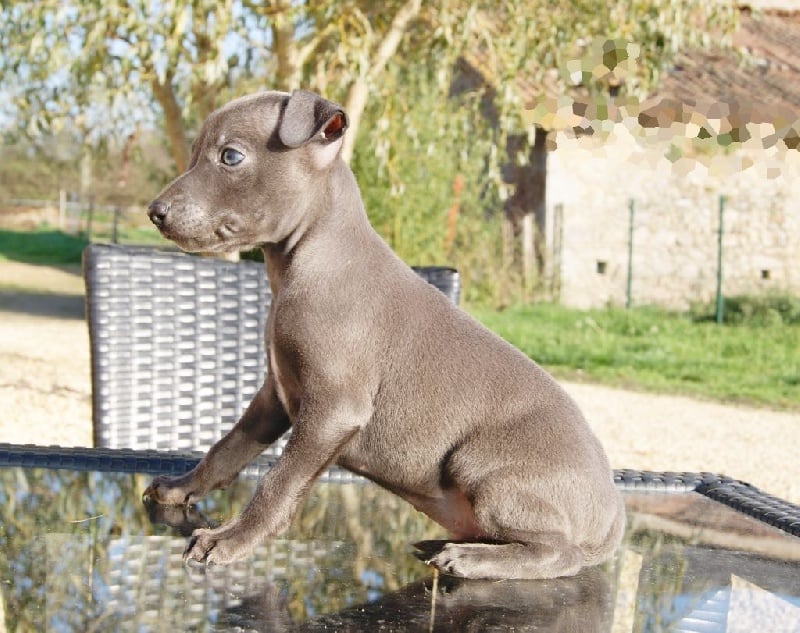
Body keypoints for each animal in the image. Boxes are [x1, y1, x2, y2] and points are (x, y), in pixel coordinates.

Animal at [143, 89, 625, 579]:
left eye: (231, 156)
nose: (154, 212)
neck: (310, 263)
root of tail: (611, 521)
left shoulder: (334, 409)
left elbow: (278, 482)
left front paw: (231, 539)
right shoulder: (275, 396)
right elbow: (227, 447)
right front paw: (182, 487)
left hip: (480, 463)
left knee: (557, 551)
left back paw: (471, 558)